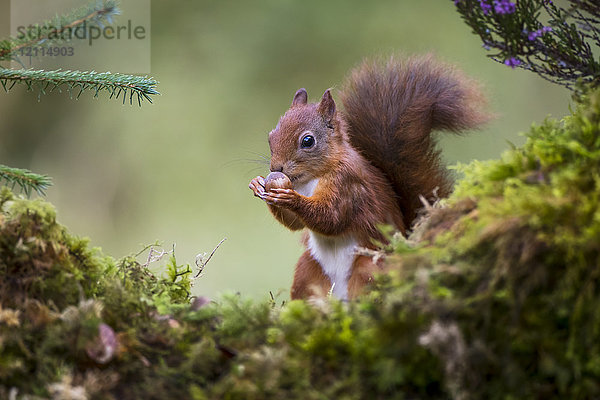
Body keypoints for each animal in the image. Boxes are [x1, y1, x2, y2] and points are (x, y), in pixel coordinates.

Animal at [248, 55, 488, 300]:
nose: (276, 167)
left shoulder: (348, 184)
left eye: (308, 141)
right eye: (271, 136)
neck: (311, 178)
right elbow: (295, 223)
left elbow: (331, 218)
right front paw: (258, 185)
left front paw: (290, 198)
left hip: (368, 266)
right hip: (307, 269)